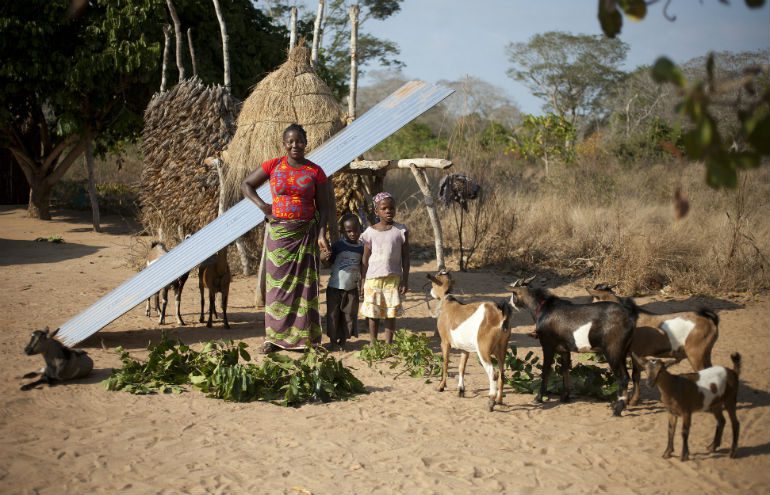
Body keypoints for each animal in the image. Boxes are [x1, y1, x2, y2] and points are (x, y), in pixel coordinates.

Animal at [426, 272, 510, 410]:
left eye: (434, 282)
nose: (431, 291)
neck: (448, 303)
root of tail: (500, 316)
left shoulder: (445, 342)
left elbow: (445, 363)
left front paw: (441, 386)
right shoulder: (465, 349)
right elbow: (461, 367)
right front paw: (461, 390)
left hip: (483, 351)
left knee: (493, 374)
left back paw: (491, 401)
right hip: (502, 349)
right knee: (502, 373)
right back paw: (499, 400)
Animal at [504, 278, 636, 416]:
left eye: (513, 293)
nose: (510, 303)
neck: (545, 308)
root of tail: (629, 319)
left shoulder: (547, 345)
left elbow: (545, 371)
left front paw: (538, 398)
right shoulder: (564, 350)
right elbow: (565, 370)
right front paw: (565, 397)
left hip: (613, 352)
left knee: (623, 378)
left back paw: (617, 409)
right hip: (623, 352)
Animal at [584, 282, 716, 406]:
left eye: (594, 301)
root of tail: (710, 321)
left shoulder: (636, 352)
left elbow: (635, 375)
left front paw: (632, 401)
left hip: (696, 354)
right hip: (705, 353)